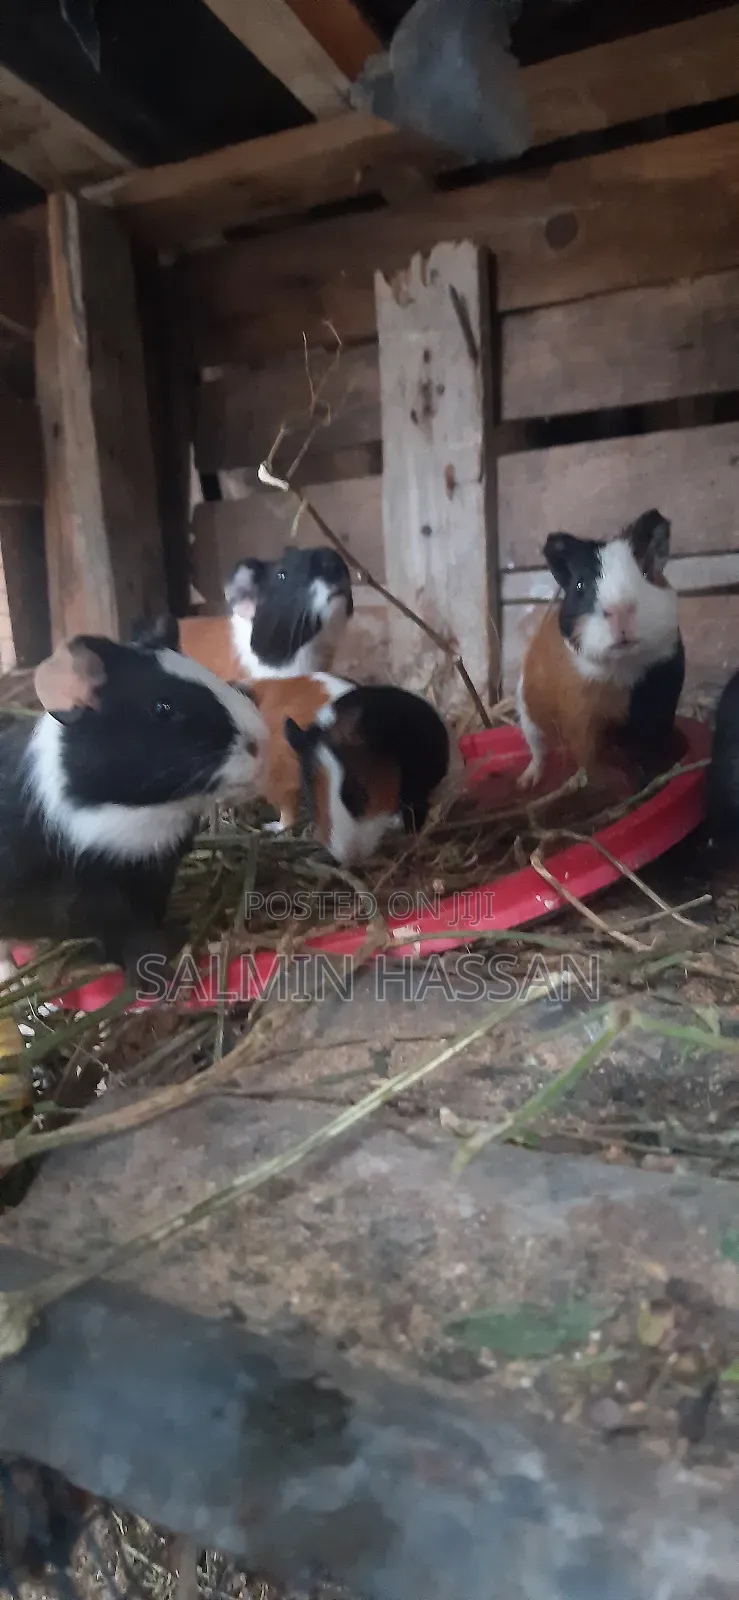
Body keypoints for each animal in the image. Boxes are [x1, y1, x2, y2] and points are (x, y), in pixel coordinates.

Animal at [517, 510, 684, 791]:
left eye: (646, 572)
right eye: (581, 584)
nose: (620, 610)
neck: (624, 666)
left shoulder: (658, 706)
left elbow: (650, 749)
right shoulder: (582, 719)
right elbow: (594, 759)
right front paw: (618, 785)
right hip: (529, 722)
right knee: (539, 755)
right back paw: (527, 782)